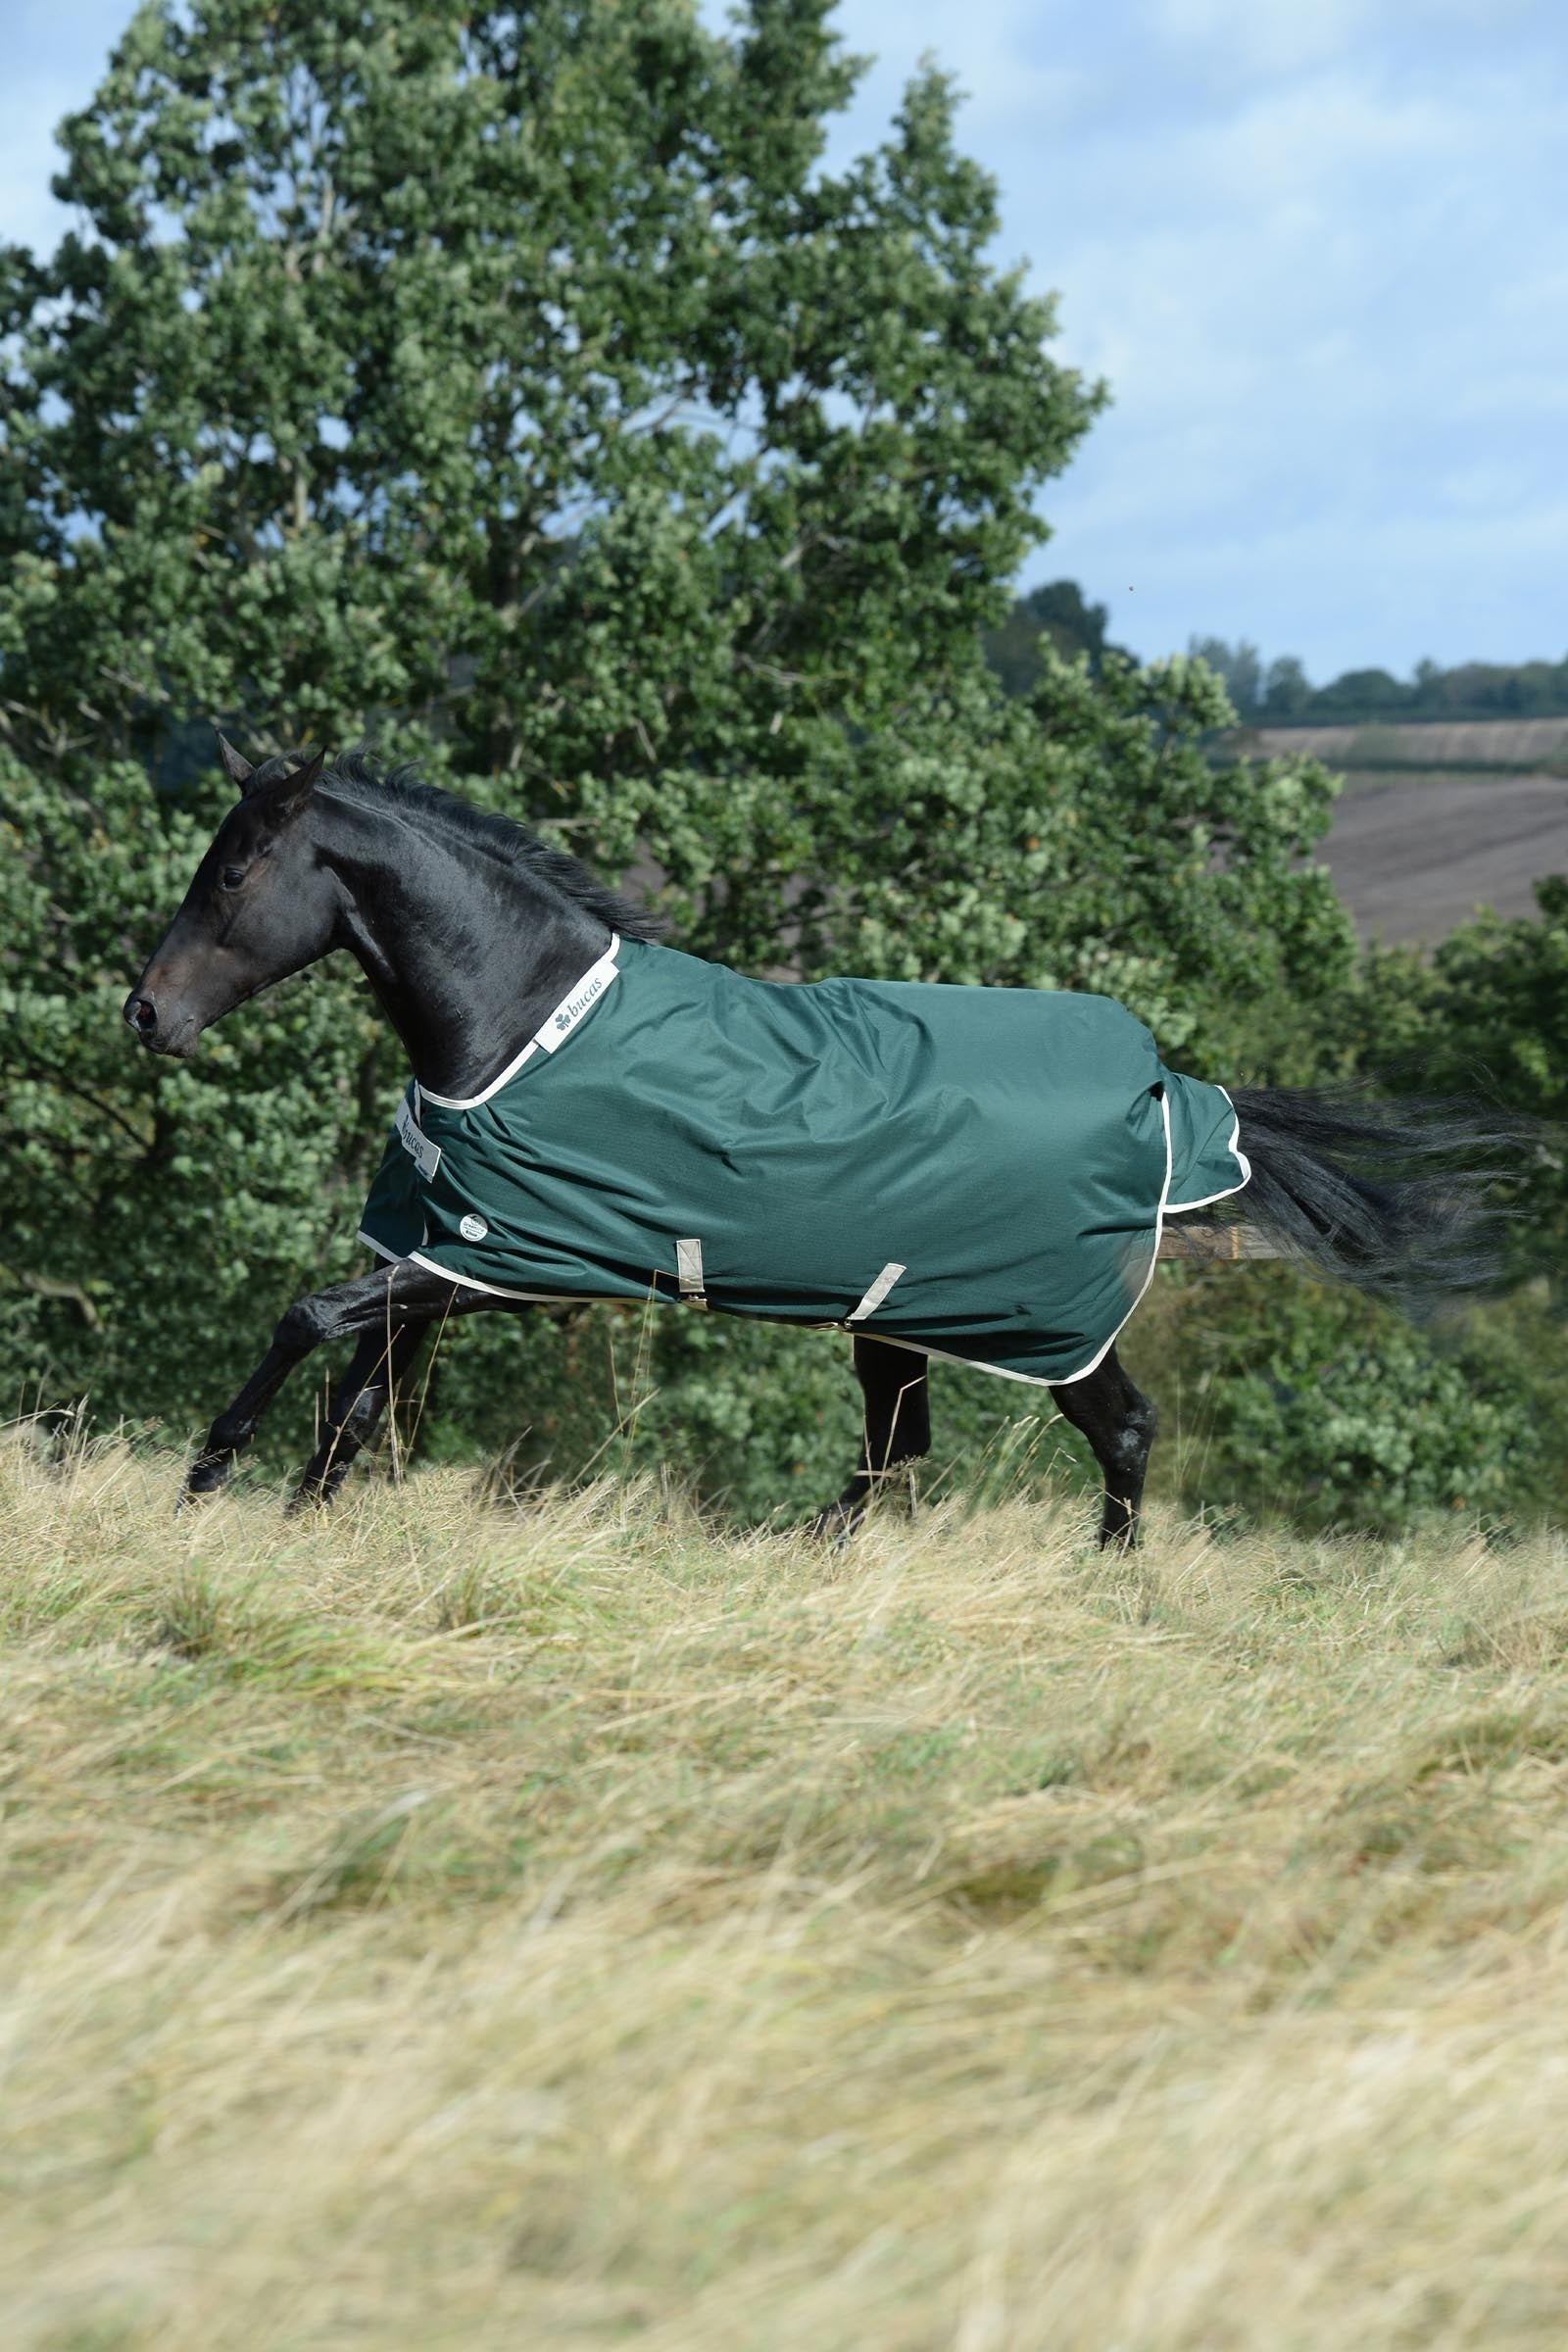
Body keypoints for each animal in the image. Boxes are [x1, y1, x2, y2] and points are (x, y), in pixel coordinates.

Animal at [123, 739, 1507, 1543]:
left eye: (234, 874)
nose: (146, 1014)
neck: (520, 1021)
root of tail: (1171, 1092)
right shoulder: (446, 1258)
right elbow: (355, 1406)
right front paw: (297, 1524)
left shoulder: (507, 1262)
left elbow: (307, 1322)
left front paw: (204, 1481)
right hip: (896, 1317)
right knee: (900, 1452)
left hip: (1039, 1323)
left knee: (1116, 1434)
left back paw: (1103, 1591)